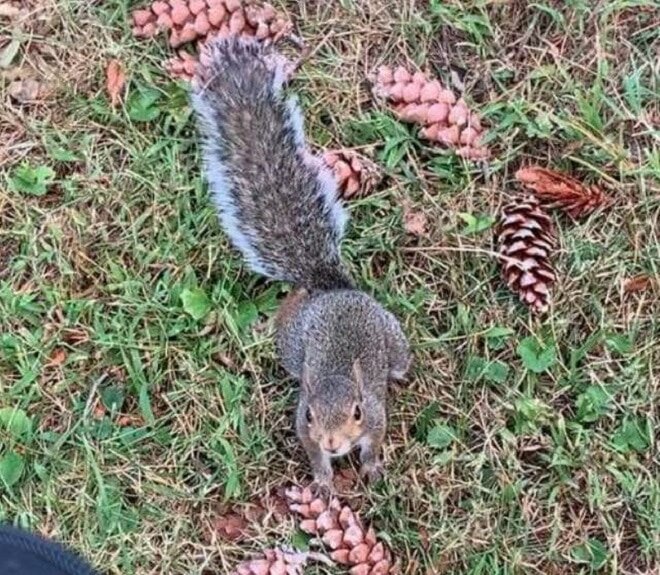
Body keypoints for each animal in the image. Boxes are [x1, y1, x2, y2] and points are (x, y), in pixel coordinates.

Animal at [188, 37, 410, 490]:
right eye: (309, 414)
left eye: (357, 411)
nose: (332, 443)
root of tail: (331, 288)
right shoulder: (303, 425)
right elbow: (309, 451)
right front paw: (323, 480)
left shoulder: (376, 417)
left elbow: (375, 441)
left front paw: (371, 467)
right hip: (292, 348)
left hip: (394, 342)